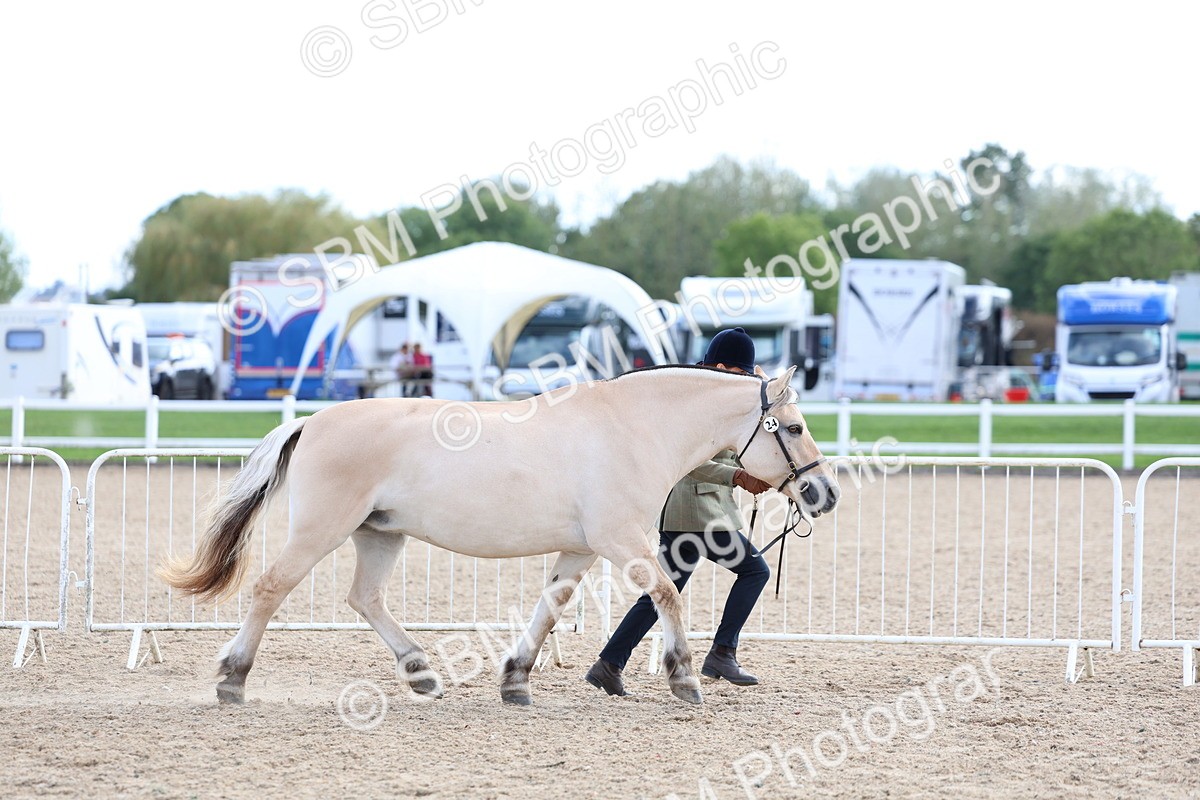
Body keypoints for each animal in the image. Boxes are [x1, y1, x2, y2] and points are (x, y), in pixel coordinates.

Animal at [159, 364, 840, 706]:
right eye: (795, 427)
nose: (824, 493)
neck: (631, 427)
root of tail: (312, 420)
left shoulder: (581, 548)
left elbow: (550, 608)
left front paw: (515, 680)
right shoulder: (621, 542)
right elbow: (666, 596)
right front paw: (685, 679)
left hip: (379, 535)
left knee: (365, 598)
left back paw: (422, 674)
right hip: (321, 530)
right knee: (270, 589)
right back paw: (232, 679)